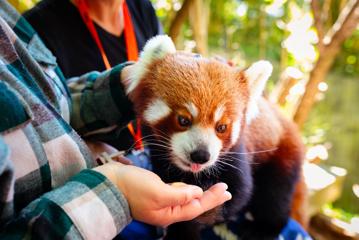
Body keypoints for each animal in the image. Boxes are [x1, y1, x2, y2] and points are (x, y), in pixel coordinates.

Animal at [125, 35, 306, 240]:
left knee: (275, 195)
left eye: (221, 127)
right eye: (183, 120)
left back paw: (263, 229)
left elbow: (238, 194)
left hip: (282, 153)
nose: (201, 155)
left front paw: (187, 227)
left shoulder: (237, 154)